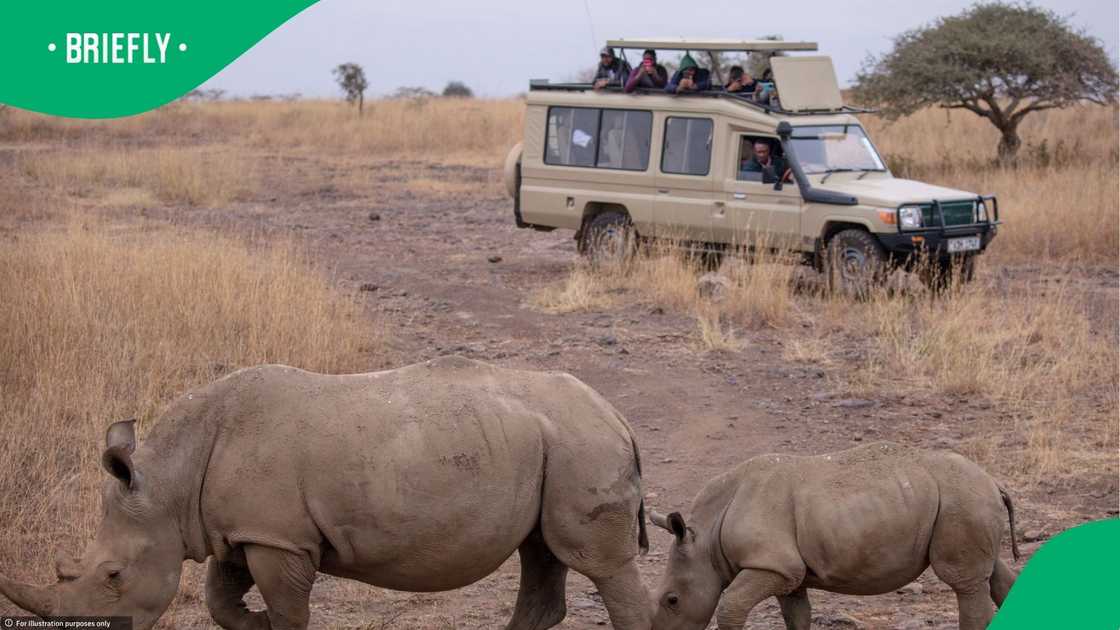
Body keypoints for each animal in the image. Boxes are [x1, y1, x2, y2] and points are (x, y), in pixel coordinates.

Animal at [0, 357, 654, 630]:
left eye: (112, 576)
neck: (170, 483)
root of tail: (618, 416)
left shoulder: (278, 540)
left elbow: (290, 611)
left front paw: (270, 620)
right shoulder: (244, 529)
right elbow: (218, 599)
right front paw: (254, 621)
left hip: (581, 446)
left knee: (598, 563)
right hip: (554, 446)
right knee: (542, 553)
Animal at [648, 442, 1019, 630]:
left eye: (672, 600)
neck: (706, 537)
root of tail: (993, 481)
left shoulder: (771, 564)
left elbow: (729, 606)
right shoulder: (787, 571)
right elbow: (796, 616)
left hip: (961, 500)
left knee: (964, 583)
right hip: (968, 502)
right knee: (990, 574)